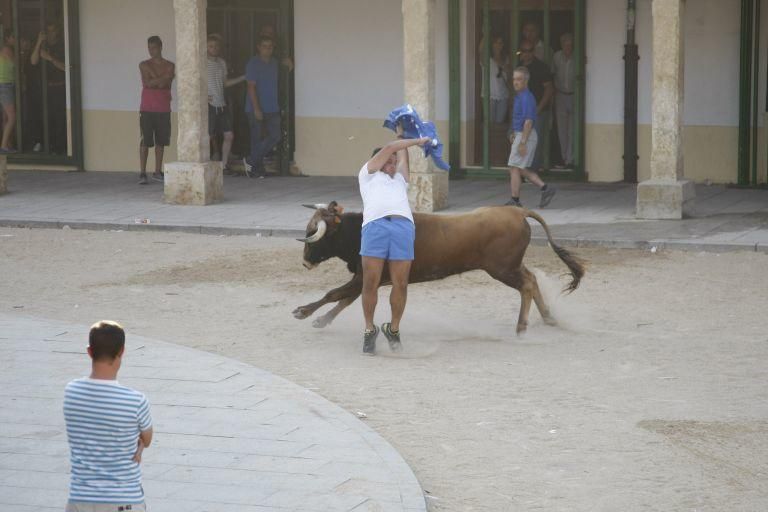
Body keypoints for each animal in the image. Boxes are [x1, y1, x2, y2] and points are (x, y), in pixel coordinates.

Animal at [292, 200, 584, 332]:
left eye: (312, 233)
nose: (305, 262)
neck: (360, 231)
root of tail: (517, 211)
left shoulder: (366, 276)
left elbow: (335, 294)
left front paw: (303, 312)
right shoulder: (368, 278)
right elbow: (344, 299)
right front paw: (320, 319)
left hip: (503, 269)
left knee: (526, 285)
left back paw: (521, 326)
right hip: (510, 266)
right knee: (532, 279)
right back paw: (548, 318)